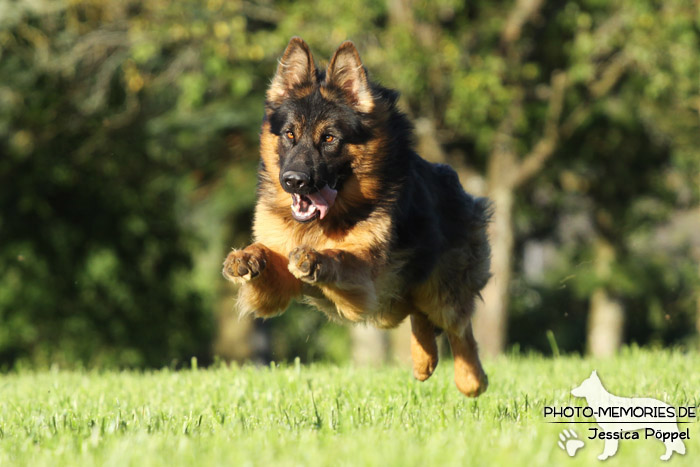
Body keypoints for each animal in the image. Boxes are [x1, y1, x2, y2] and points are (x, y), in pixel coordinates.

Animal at [221, 36, 490, 396]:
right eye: (290, 134)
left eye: (329, 138)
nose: (293, 180)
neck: (319, 224)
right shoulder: (278, 286)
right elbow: (266, 253)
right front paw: (246, 257)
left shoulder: (363, 282)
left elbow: (339, 256)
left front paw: (316, 259)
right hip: (400, 299)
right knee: (419, 315)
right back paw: (423, 363)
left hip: (439, 290)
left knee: (459, 327)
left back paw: (471, 379)